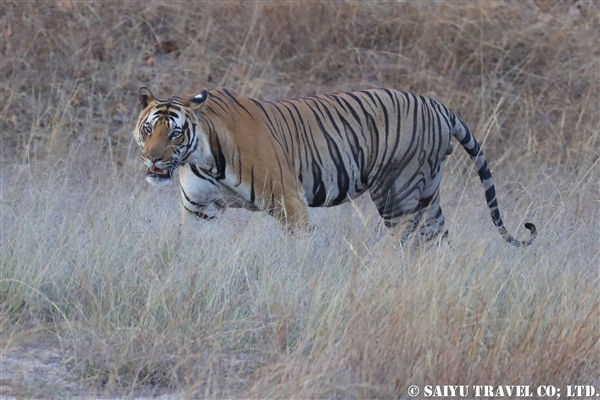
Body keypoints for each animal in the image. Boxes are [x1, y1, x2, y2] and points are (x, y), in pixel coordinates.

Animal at [134, 86, 536, 245]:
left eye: (175, 134)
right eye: (149, 129)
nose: (153, 158)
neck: (200, 154)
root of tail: (438, 105)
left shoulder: (289, 201)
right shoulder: (198, 209)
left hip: (397, 192)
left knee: (410, 240)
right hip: (427, 193)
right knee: (437, 239)